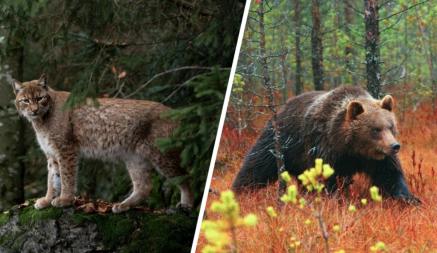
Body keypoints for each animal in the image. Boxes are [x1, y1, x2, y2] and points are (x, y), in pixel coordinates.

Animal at [232, 85, 418, 204]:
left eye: (391, 126)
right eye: (375, 129)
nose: (395, 146)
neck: (351, 147)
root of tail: (283, 107)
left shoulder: (375, 158)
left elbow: (389, 175)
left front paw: (409, 199)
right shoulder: (324, 148)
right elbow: (325, 178)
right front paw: (334, 200)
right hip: (280, 141)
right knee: (257, 166)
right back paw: (239, 191)